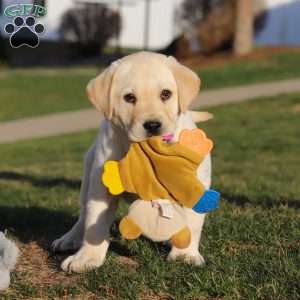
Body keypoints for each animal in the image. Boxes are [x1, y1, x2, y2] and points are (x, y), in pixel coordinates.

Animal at [51, 51, 211, 272]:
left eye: (166, 94)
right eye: (129, 98)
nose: (152, 125)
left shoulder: (192, 184)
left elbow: (192, 222)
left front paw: (185, 254)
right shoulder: (101, 187)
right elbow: (93, 225)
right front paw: (86, 258)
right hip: (88, 174)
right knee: (83, 215)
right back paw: (70, 238)